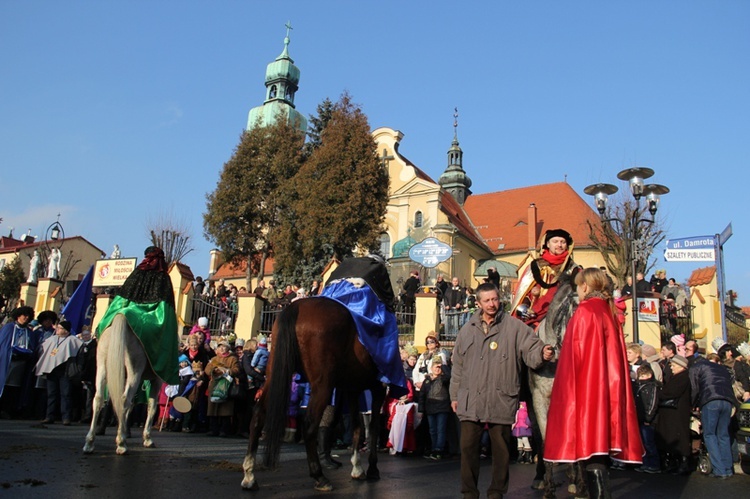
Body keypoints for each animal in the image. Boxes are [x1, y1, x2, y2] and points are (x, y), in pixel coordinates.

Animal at [83, 316, 162, 458]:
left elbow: (129, 405)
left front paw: (124, 429)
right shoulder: (156, 379)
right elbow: (151, 406)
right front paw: (147, 438)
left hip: (103, 366)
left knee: (99, 399)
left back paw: (90, 443)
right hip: (134, 371)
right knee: (124, 400)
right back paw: (121, 444)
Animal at [244, 296, 390, 492]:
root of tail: (295, 307)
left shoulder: (352, 389)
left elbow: (357, 425)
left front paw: (357, 468)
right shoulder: (378, 387)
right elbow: (373, 426)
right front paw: (372, 468)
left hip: (276, 372)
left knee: (259, 414)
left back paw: (249, 475)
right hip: (322, 385)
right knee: (310, 424)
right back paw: (319, 475)